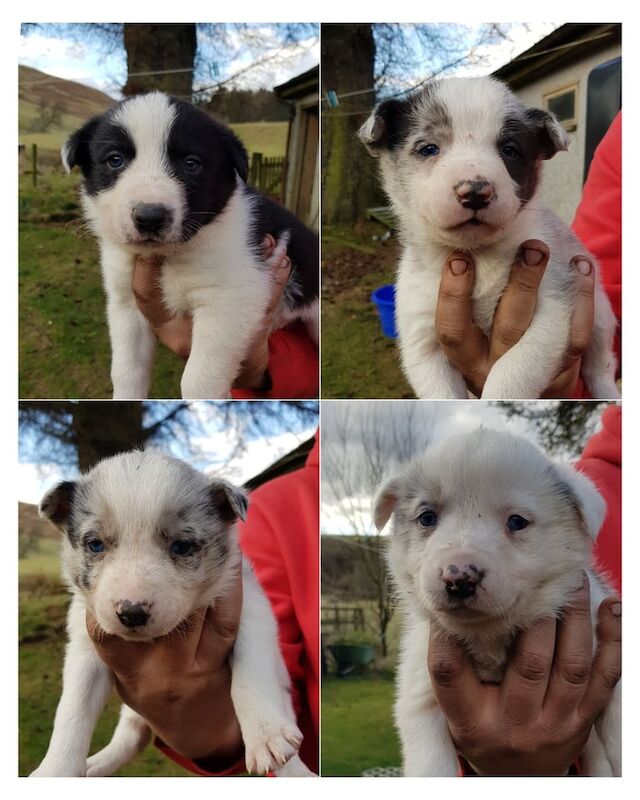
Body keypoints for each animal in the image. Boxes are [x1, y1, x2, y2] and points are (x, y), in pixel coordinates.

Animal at [30, 454, 316, 780]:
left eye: (181, 546)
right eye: (95, 544)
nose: (131, 612)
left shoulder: (251, 614)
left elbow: (251, 674)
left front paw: (266, 735)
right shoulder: (84, 647)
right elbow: (73, 709)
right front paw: (55, 769)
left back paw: (298, 771)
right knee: (130, 735)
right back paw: (96, 765)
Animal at [360, 76, 620, 400]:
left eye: (510, 150)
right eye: (428, 148)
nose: (474, 192)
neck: (478, 254)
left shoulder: (551, 312)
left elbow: (509, 375)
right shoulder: (422, 340)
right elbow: (442, 393)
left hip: (601, 319)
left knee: (601, 368)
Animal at [376, 432, 620, 776]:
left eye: (517, 521)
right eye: (427, 517)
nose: (459, 577)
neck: (489, 638)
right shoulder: (418, 697)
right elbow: (430, 765)